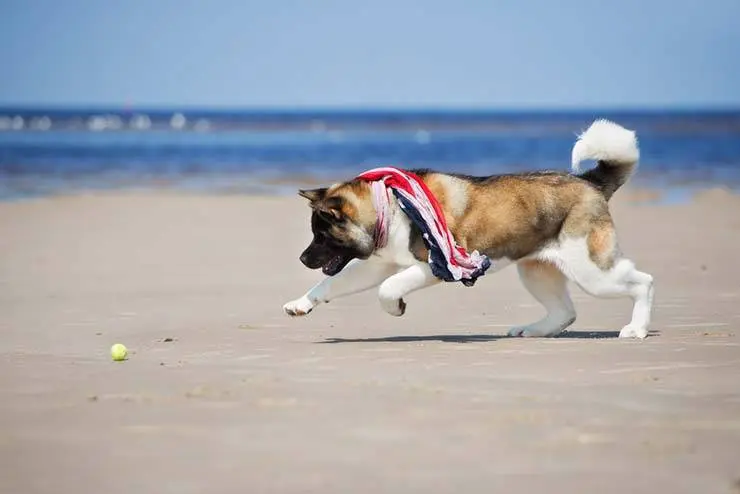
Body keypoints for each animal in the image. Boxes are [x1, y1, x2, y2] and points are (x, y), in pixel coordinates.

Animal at [282, 119, 652, 338]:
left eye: (322, 235)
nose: (302, 259)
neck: (390, 205)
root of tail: (590, 182)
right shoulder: (377, 264)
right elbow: (330, 284)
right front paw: (301, 304)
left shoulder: (431, 267)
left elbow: (387, 288)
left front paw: (395, 306)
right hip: (537, 271)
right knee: (565, 312)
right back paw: (532, 330)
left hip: (593, 271)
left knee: (643, 282)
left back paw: (636, 328)